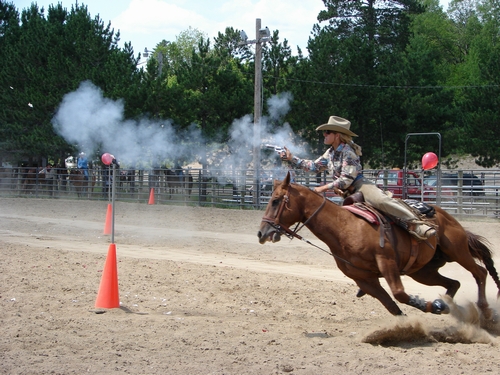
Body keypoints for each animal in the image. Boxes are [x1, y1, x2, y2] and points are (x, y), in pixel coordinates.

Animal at [258, 173, 500, 320]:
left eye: (276, 201)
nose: (262, 233)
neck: (344, 227)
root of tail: (446, 216)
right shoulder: (363, 278)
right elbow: (392, 305)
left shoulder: (387, 262)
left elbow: (400, 294)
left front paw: (431, 306)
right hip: (423, 271)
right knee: (454, 283)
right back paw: (449, 305)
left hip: (457, 250)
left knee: (480, 272)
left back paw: (485, 311)